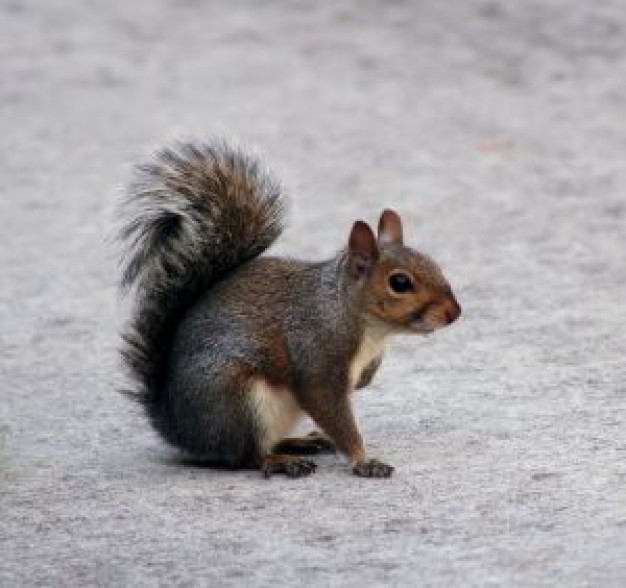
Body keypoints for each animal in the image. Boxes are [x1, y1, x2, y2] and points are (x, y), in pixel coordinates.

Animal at [118, 141, 458, 478]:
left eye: (433, 263)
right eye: (399, 282)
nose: (454, 312)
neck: (358, 319)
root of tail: (176, 426)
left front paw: (365, 378)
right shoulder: (318, 359)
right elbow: (333, 412)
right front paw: (364, 461)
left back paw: (302, 442)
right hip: (238, 401)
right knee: (247, 455)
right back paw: (280, 461)